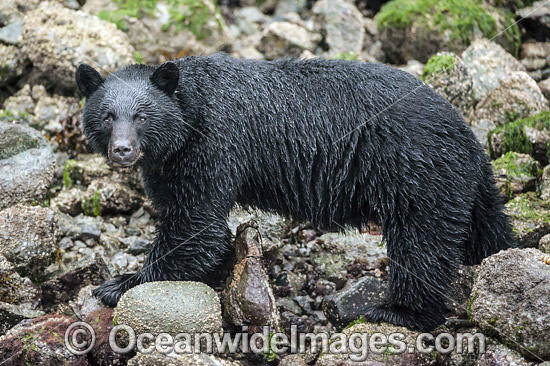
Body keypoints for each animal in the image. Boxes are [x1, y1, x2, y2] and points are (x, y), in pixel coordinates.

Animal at [75, 54, 516, 332]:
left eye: (141, 116)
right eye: (107, 116)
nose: (123, 150)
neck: (188, 112)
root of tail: (463, 129)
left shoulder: (213, 144)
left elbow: (196, 225)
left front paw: (120, 283)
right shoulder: (166, 163)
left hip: (415, 171)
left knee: (422, 243)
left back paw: (398, 311)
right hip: (464, 184)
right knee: (486, 230)